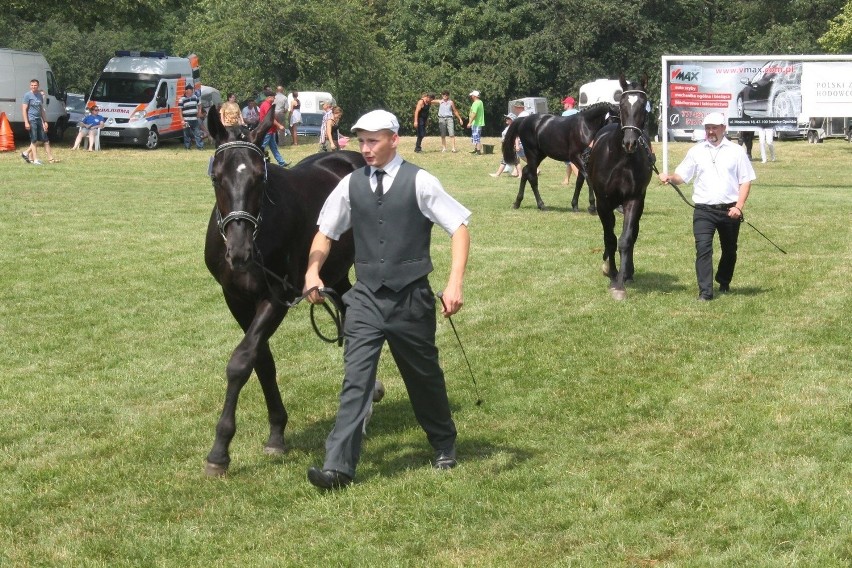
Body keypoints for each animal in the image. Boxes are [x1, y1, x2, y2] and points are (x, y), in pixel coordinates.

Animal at [206, 103, 366, 474]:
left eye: (259, 177)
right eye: (217, 177)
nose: (239, 252)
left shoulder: (277, 297)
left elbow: (241, 361)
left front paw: (220, 449)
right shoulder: (236, 299)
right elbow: (261, 360)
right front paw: (276, 432)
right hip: (334, 274)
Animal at [584, 75, 652, 302]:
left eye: (643, 106)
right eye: (622, 105)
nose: (630, 142)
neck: (621, 159)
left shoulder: (634, 199)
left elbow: (625, 240)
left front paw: (620, 282)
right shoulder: (603, 202)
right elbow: (610, 238)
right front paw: (612, 272)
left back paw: (628, 272)